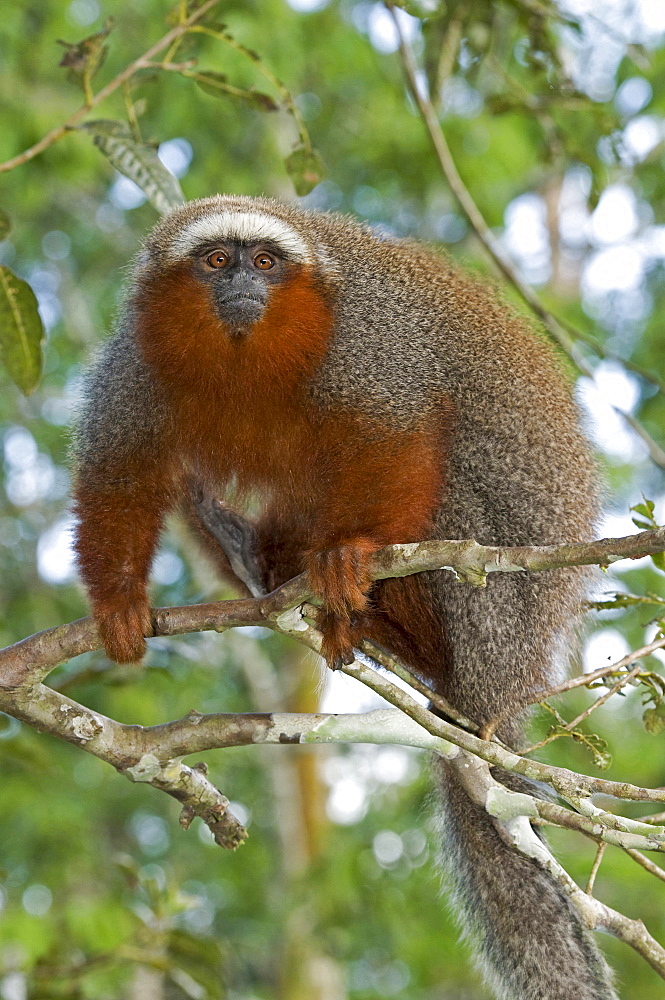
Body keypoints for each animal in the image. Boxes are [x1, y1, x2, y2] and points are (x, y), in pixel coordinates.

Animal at [72, 195, 616, 1000]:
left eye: (266, 262)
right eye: (216, 261)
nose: (243, 284)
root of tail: (497, 692)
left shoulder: (369, 339)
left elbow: (402, 430)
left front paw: (348, 555)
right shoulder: (134, 365)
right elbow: (123, 471)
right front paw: (117, 600)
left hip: (493, 615)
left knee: (449, 495)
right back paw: (283, 578)